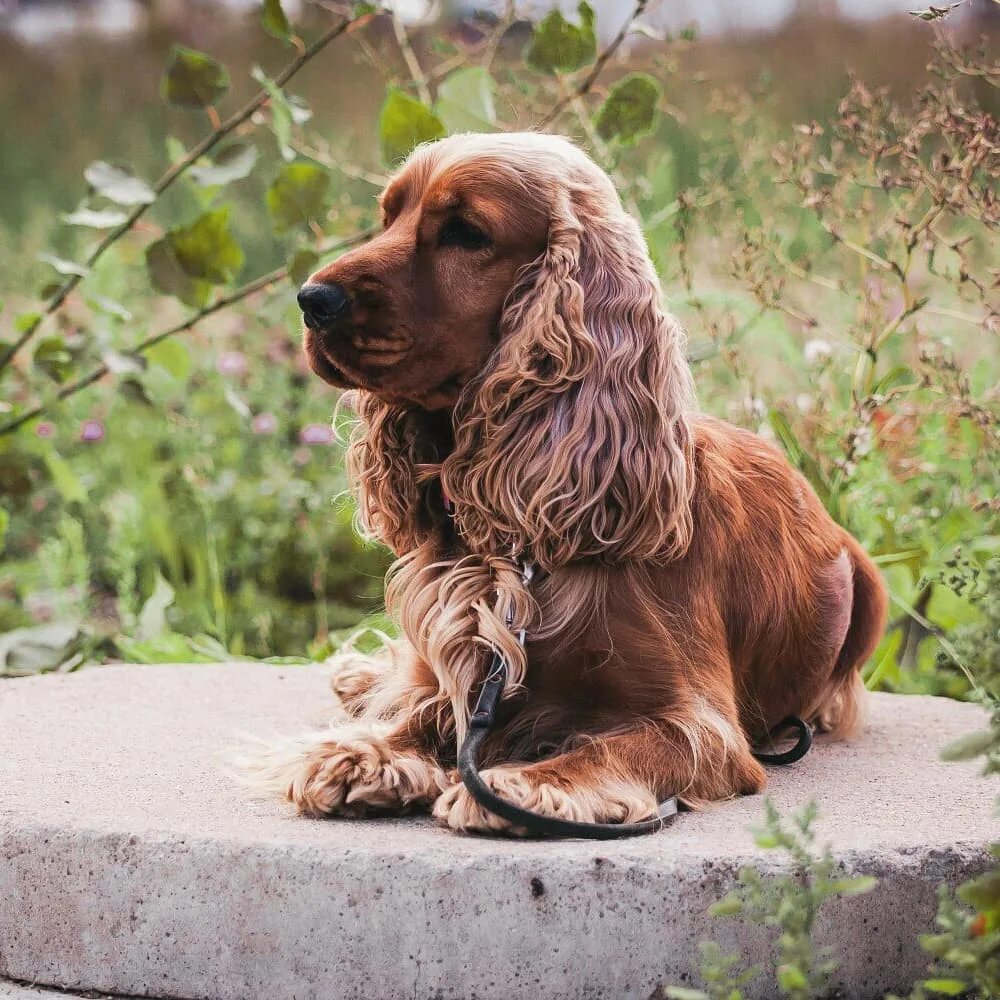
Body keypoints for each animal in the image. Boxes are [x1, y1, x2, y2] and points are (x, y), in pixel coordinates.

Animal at [246, 135, 888, 836]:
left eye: (465, 233)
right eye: (388, 215)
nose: (311, 299)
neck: (519, 550)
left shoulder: (701, 725)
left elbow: (615, 745)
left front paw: (528, 783)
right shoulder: (467, 649)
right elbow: (424, 708)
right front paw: (364, 754)